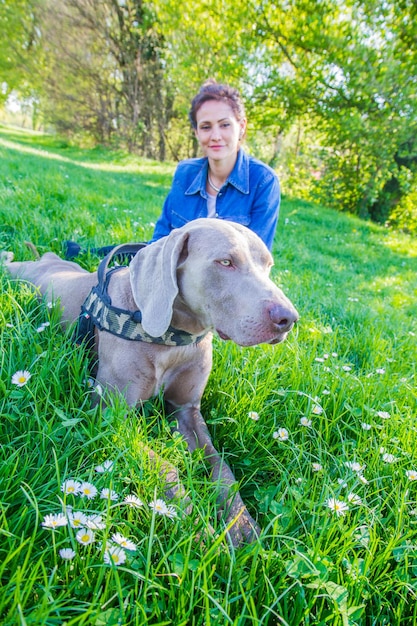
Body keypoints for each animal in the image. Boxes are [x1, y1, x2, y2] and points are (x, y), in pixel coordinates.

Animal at [4, 217, 298, 544]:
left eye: (268, 265)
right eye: (225, 262)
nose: (288, 318)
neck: (173, 338)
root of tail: (43, 260)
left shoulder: (187, 411)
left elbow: (222, 469)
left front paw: (241, 525)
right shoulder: (112, 415)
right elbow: (167, 468)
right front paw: (202, 532)